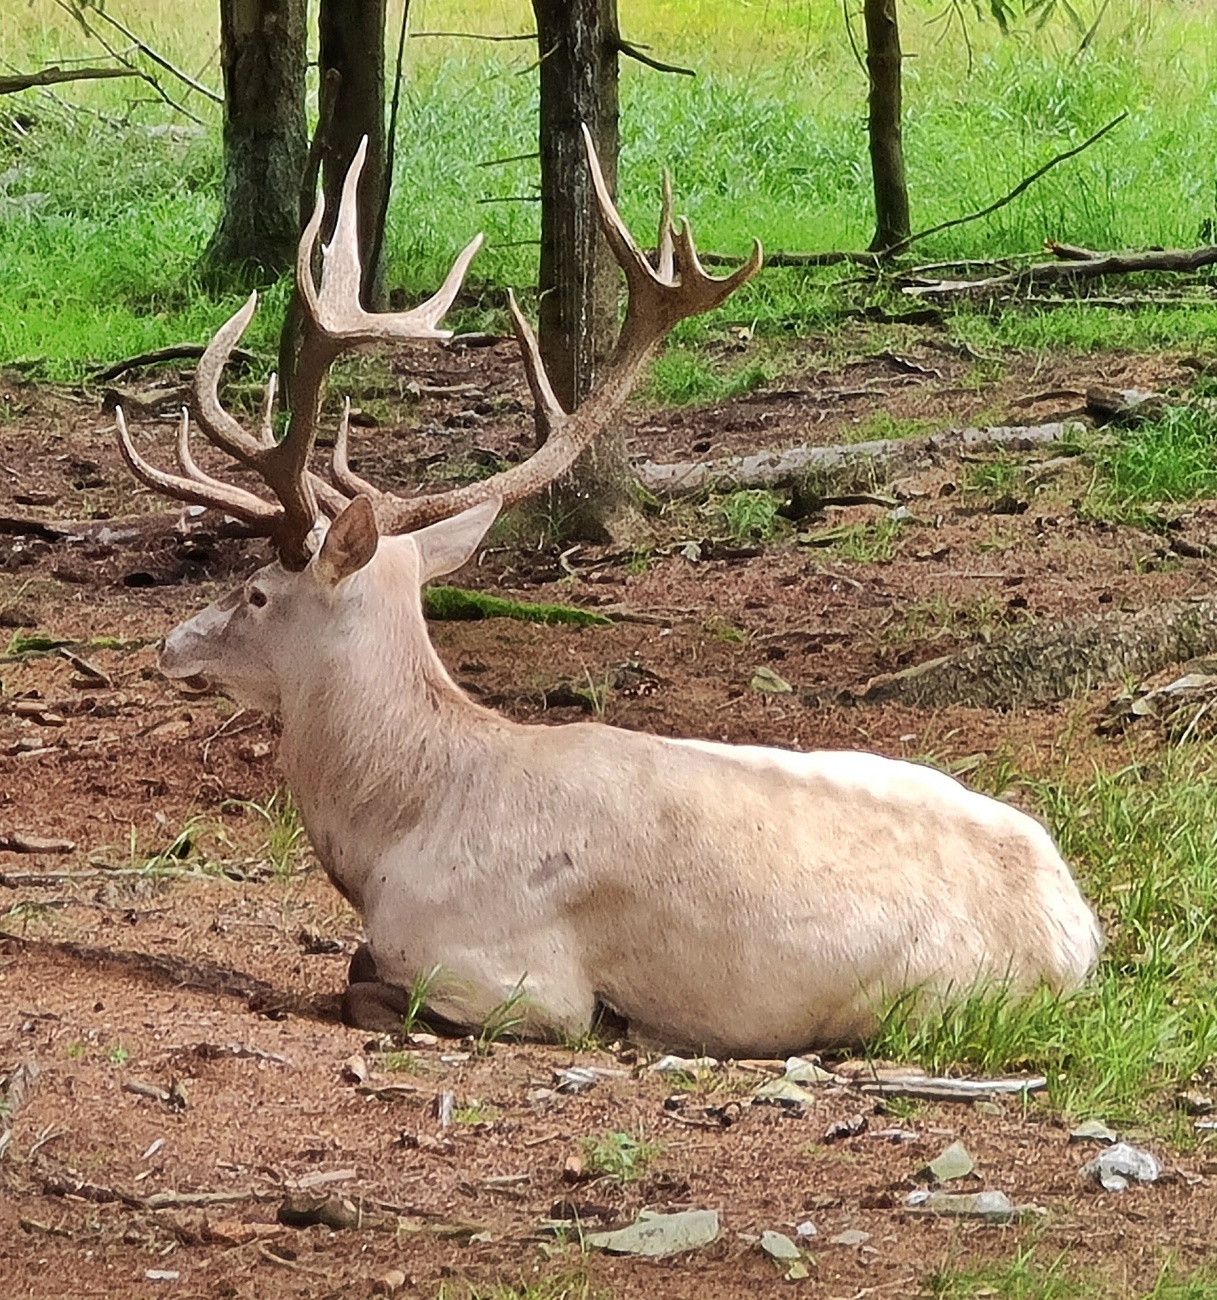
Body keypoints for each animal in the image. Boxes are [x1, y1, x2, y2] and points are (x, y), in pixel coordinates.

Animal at [116, 129, 1102, 1055]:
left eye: (255, 591)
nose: (168, 644)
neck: (394, 833)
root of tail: (1078, 936)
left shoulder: (513, 977)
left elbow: (361, 985)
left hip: (919, 1007)